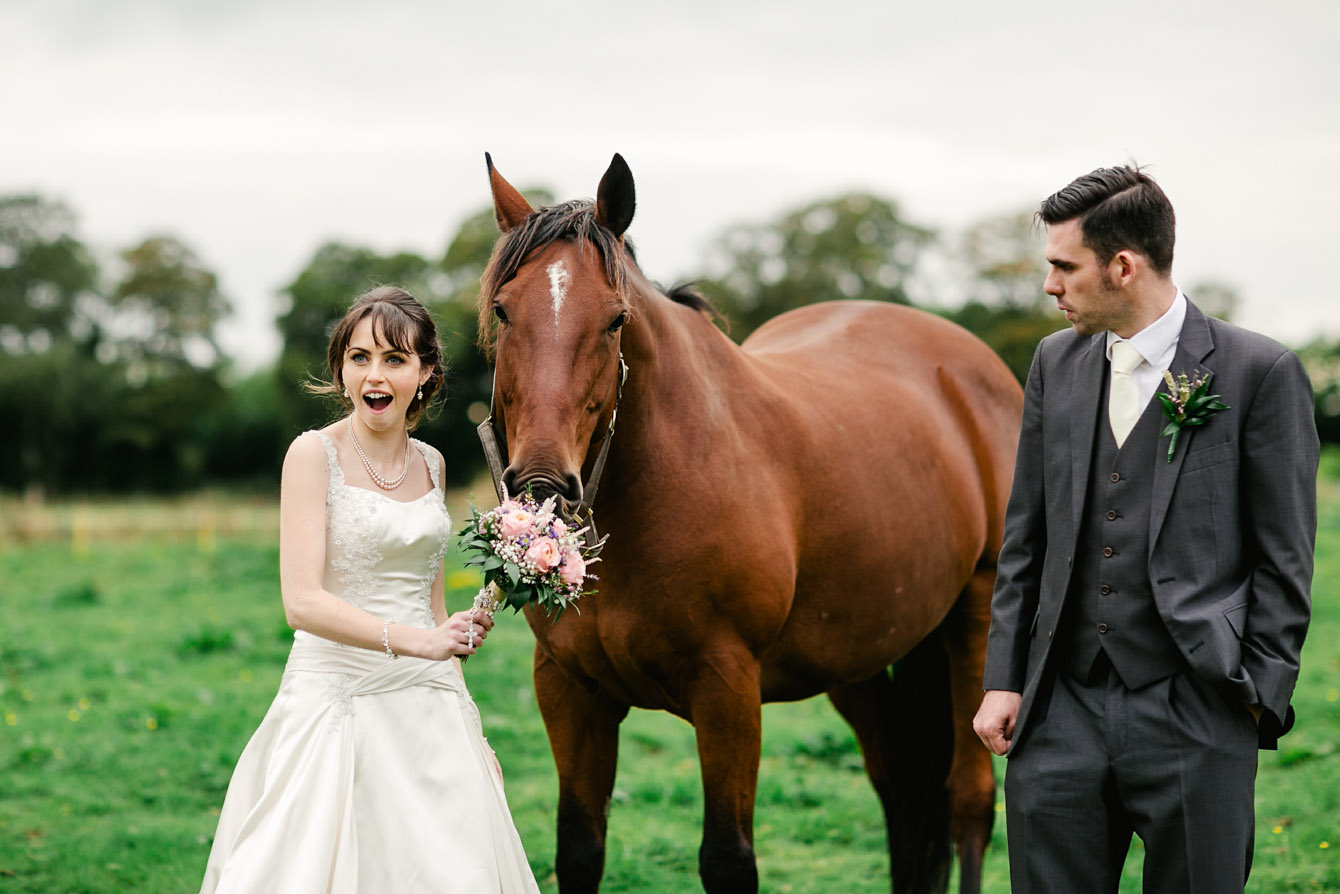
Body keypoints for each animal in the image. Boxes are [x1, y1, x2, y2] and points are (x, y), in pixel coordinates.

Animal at [477, 155, 1018, 894]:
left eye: (616, 320)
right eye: (505, 310)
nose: (541, 485)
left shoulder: (727, 689)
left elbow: (728, 859)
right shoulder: (568, 689)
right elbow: (579, 850)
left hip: (975, 618)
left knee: (969, 802)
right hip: (858, 655)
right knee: (903, 787)